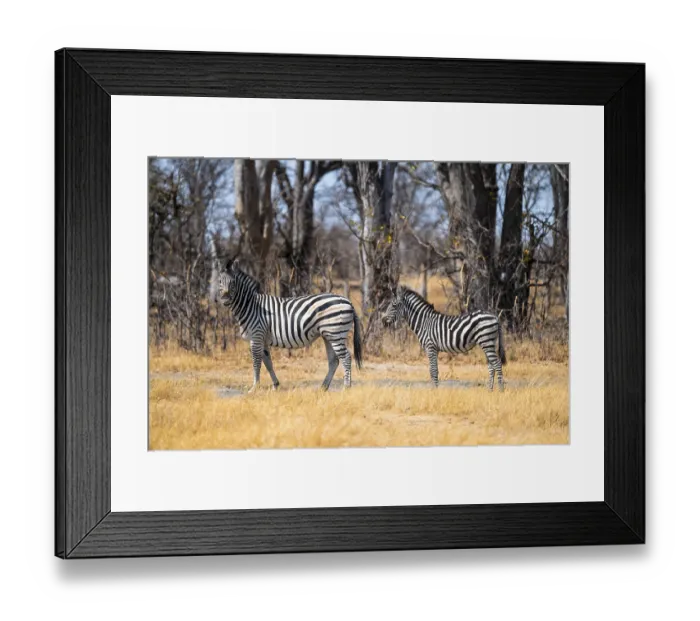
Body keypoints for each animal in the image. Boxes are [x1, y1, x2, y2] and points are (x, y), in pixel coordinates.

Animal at [219, 258, 363, 392]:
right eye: (220, 281)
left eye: (233, 283)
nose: (225, 300)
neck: (251, 306)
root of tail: (347, 301)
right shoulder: (262, 339)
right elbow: (268, 363)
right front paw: (275, 385)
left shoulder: (256, 336)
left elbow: (256, 362)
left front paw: (254, 388)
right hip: (328, 335)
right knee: (334, 360)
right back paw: (323, 387)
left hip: (336, 333)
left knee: (346, 358)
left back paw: (346, 388)